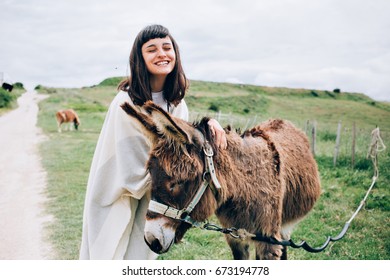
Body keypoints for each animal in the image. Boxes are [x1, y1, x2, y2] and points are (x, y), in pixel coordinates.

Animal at [120, 100, 322, 260]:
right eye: (150, 177)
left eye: (178, 183)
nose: (151, 240)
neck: (245, 185)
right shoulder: (235, 236)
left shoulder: (267, 241)